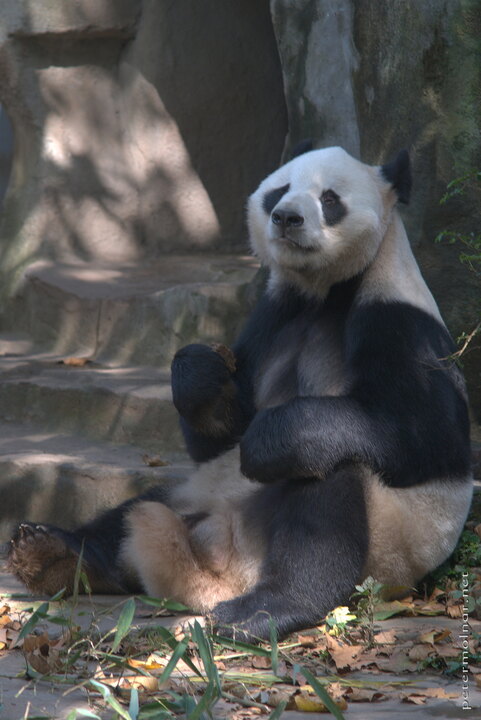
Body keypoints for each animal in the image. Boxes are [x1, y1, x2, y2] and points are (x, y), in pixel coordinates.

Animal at [8, 146, 472, 640]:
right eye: (278, 191)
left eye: (329, 199)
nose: (286, 217)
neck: (325, 290)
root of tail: (218, 570)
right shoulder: (273, 315)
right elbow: (220, 433)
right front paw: (202, 374)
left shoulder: (398, 321)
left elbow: (424, 437)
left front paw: (270, 439)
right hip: (199, 493)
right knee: (135, 511)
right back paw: (51, 554)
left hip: (382, 544)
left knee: (329, 484)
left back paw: (264, 610)